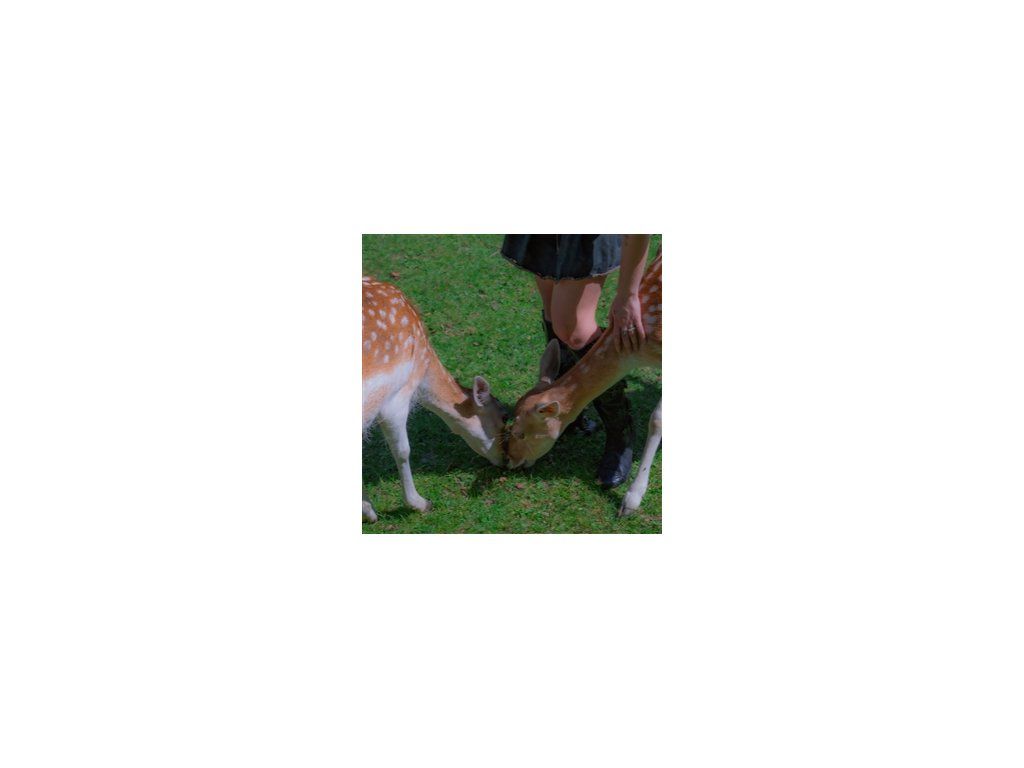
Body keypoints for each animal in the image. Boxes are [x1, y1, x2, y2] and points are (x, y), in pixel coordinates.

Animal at [362, 276, 507, 523]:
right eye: (502, 420)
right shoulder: (396, 398)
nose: (506, 461)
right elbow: (403, 451)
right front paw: (419, 503)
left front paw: (367, 510)